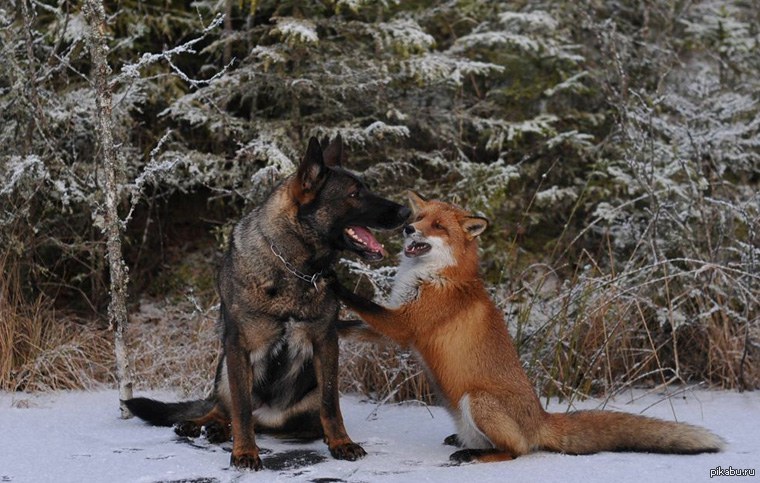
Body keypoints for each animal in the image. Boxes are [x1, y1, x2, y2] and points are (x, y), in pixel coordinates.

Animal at [124, 135, 410, 468]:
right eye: (354, 194)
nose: (406, 212)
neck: (295, 269)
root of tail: (269, 418)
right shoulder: (239, 346)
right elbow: (241, 408)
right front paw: (245, 451)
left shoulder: (326, 342)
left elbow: (331, 404)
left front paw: (341, 442)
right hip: (224, 371)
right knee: (223, 409)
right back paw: (202, 425)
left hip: (302, 406)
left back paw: (220, 431)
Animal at [336, 192, 724, 466]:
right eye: (419, 219)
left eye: (438, 226)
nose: (407, 229)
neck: (434, 276)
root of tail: (541, 417)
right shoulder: (395, 327)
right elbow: (356, 325)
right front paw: (334, 326)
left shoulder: (405, 325)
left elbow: (363, 303)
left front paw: (334, 282)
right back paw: (463, 442)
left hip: (477, 400)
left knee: (516, 450)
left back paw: (472, 455)